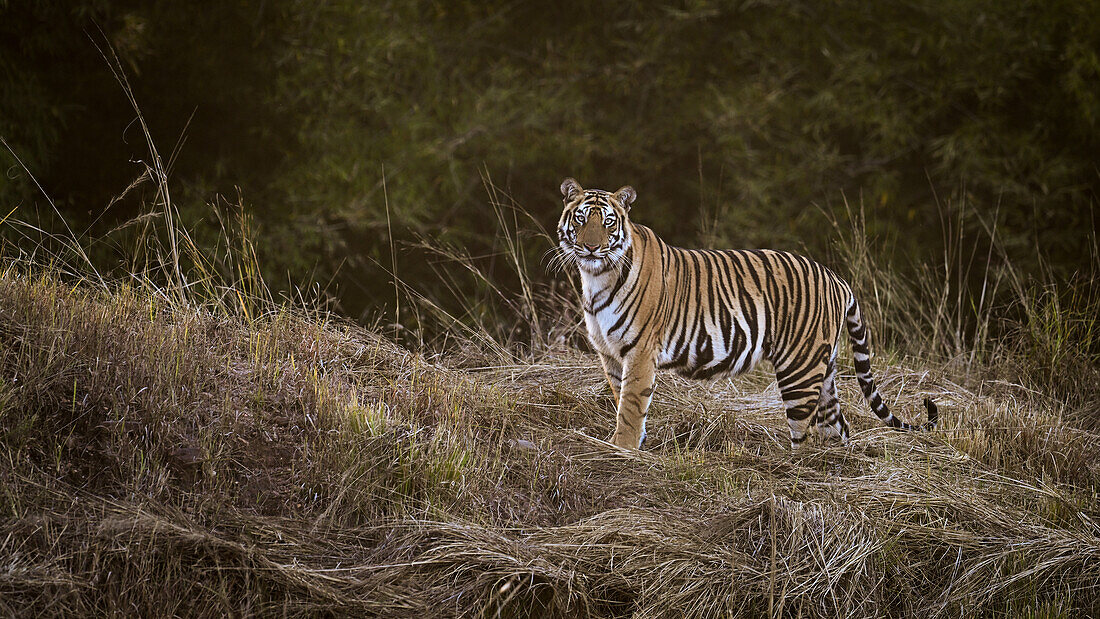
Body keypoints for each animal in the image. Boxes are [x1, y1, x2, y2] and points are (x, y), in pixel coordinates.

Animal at [554, 179, 932, 450]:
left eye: (607, 222)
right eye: (581, 218)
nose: (591, 247)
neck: (596, 277)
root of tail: (837, 278)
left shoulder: (641, 352)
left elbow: (631, 405)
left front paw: (622, 450)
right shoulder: (610, 354)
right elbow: (621, 397)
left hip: (799, 370)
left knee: (803, 435)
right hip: (823, 369)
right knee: (838, 426)